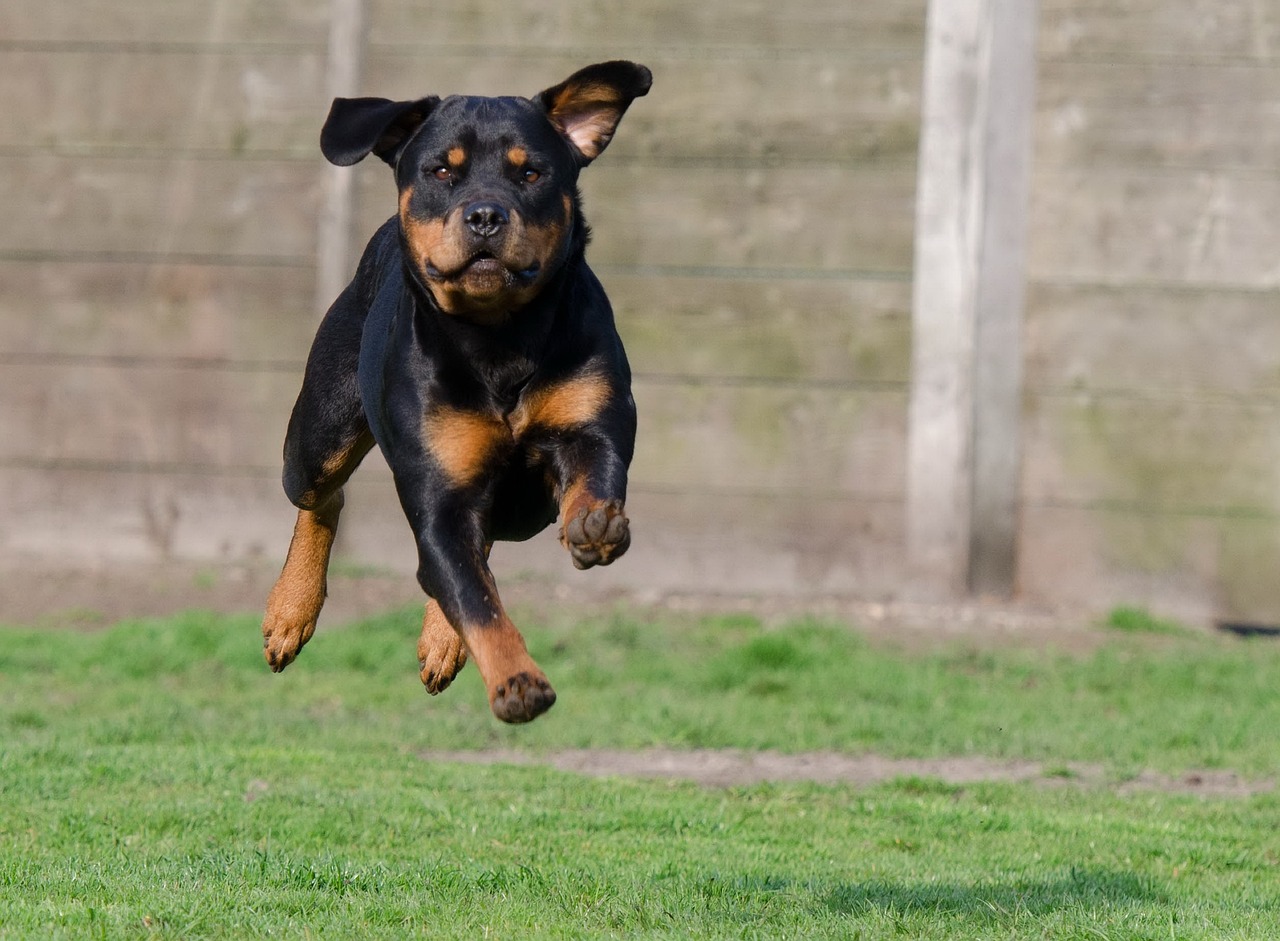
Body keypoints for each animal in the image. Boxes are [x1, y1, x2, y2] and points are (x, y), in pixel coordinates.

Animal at [263, 62, 655, 727]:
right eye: (442, 171)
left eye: (531, 173)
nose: (486, 215)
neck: (499, 336)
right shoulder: (439, 487)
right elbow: (473, 597)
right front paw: (518, 682)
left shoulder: (593, 419)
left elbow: (593, 472)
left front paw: (593, 522)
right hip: (317, 436)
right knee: (325, 497)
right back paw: (290, 614)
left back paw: (439, 640)